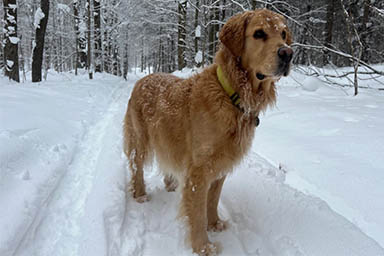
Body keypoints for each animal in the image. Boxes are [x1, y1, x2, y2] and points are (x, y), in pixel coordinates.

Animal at [123, 8, 294, 256]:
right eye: (259, 33)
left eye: (282, 34)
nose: (288, 53)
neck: (231, 95)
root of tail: (143, 78)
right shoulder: (199, 172)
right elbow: (196, 212)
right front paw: (203, 246)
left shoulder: (220, 167)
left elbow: (212, 201)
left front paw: (214, 224)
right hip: (140, 140)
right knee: (136, 168)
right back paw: (140, 194)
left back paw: (170, 183)